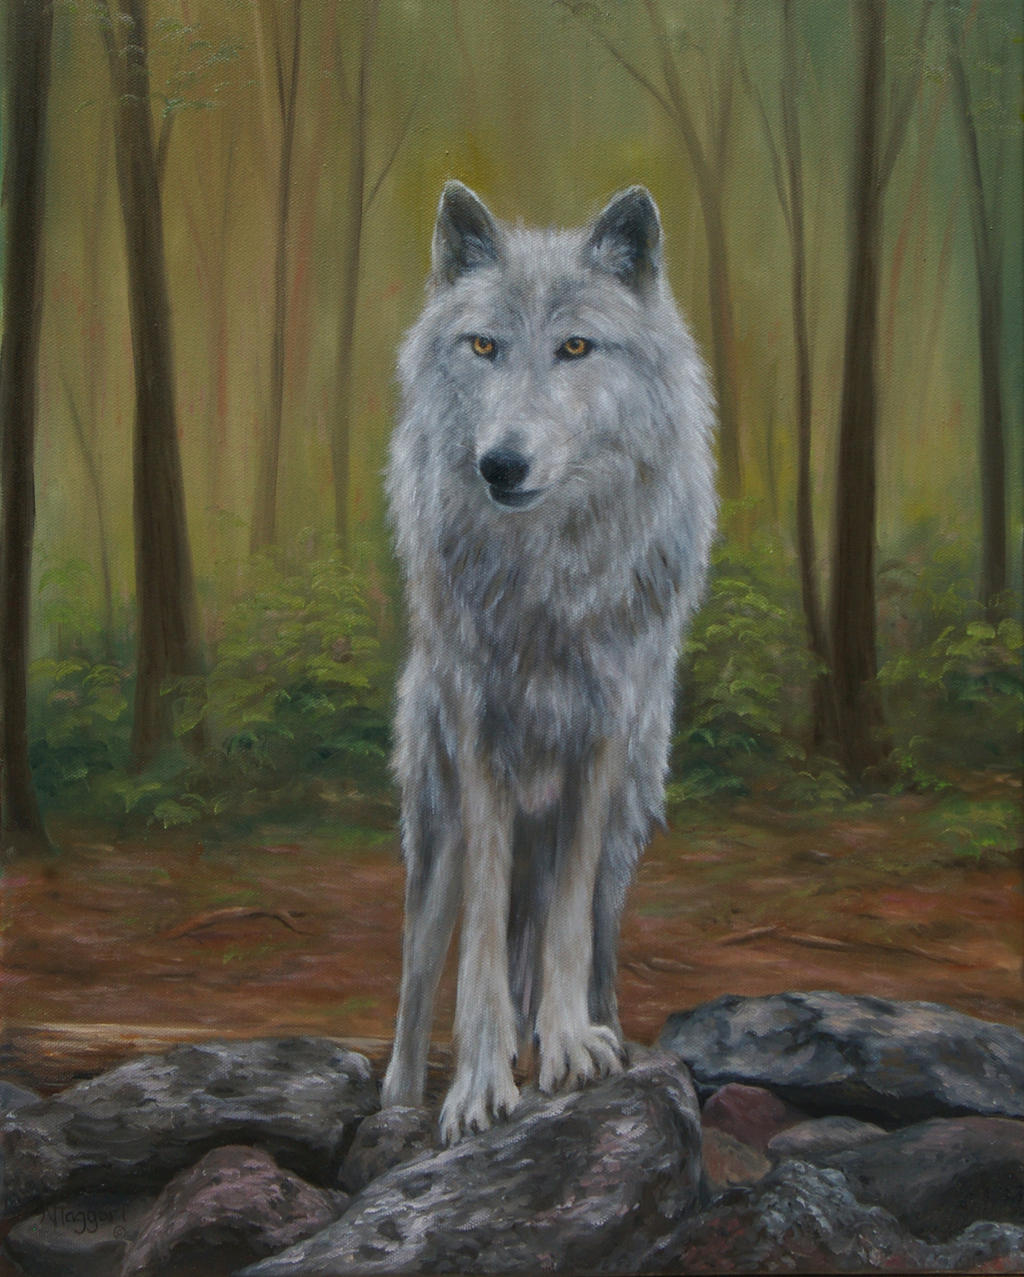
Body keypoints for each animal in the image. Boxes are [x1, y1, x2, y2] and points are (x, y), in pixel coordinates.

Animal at [381, 181, 716, 1144]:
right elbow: (480, 951)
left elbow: (563, 925)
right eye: (483, 345)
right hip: (436, 829)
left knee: (591, 934)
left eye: (575, 347)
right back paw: (400, 1099)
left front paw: (568, 1047)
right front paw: (477, 1087)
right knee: (419, 972)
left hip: (628, 825)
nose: (502, 463)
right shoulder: (482, 747)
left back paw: (598, 1030)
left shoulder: (598, 743)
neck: (546, 585)